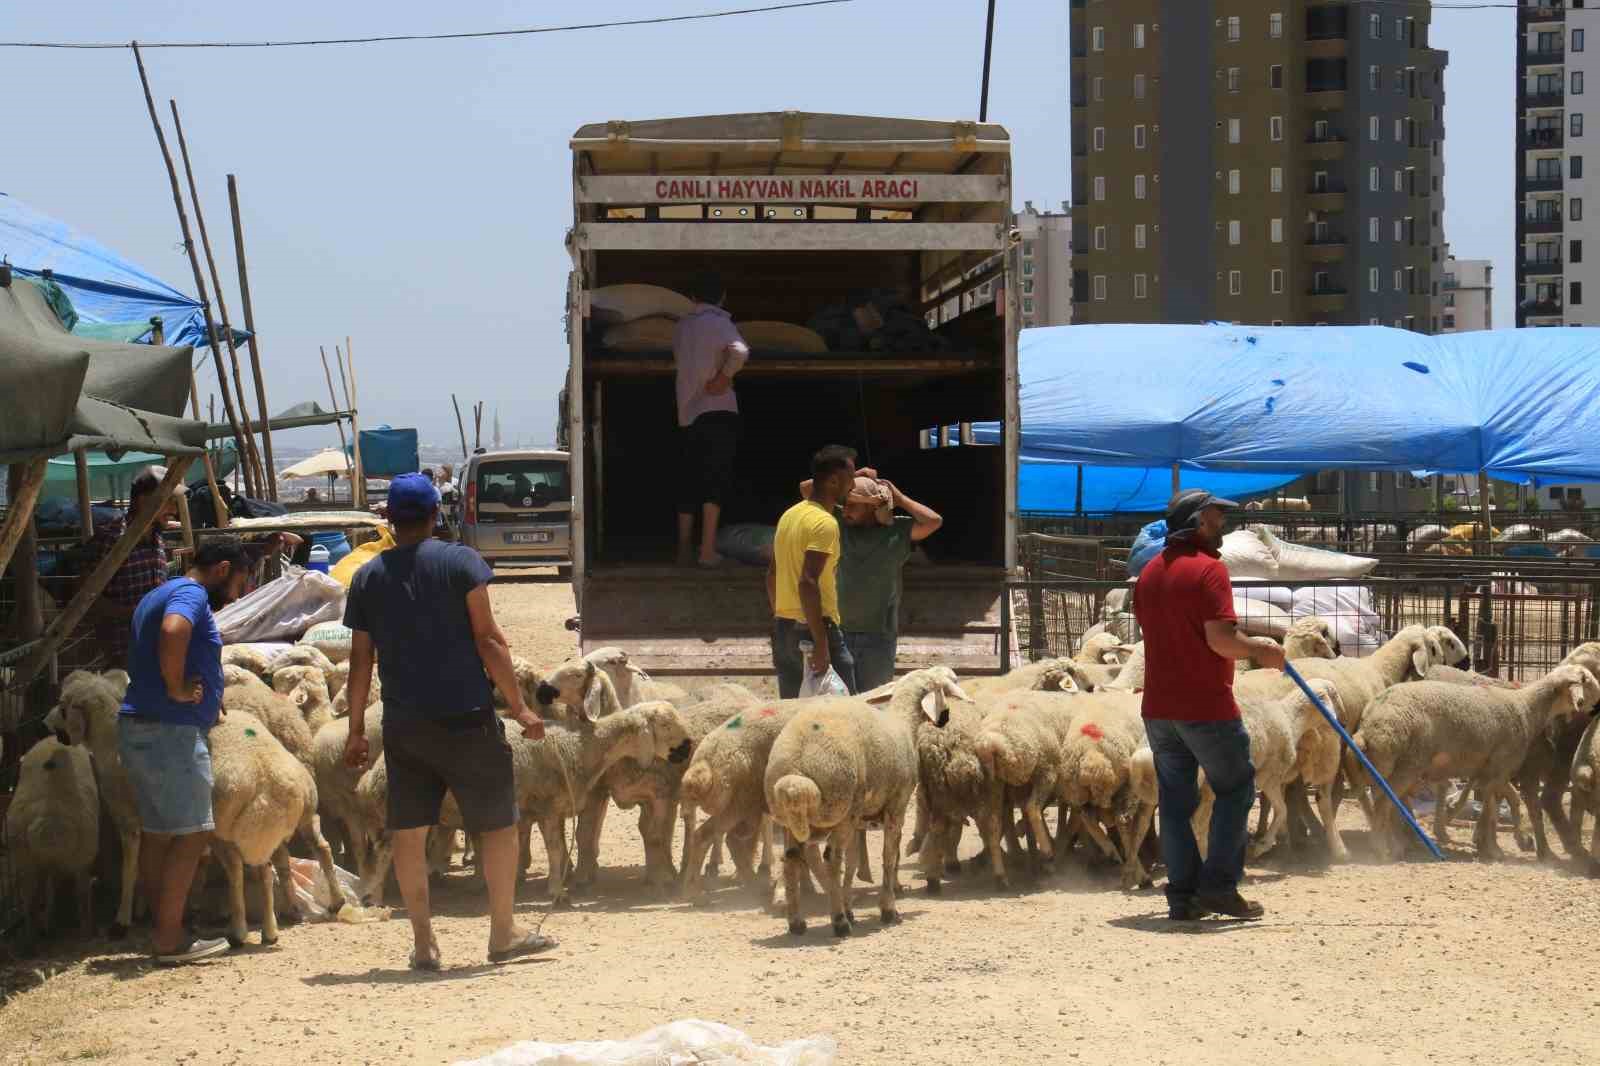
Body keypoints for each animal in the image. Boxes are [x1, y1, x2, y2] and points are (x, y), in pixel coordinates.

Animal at [5, 736, 100, 934]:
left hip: (25, 860)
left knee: (30, 900)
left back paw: (32, 934)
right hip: (81, 855)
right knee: (81, 893)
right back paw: (86, 929)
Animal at [206, 710, 347, 941]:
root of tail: (266, 778)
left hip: (223, 831)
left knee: (237, 870)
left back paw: (240, 931)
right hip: (302, 814)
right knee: (316, 849)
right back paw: (328, 903)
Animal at [764, 669, 966, 934]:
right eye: (946, 686)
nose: (945, 719)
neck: (905, 723)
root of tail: (794, 775)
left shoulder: (859, 821)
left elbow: (853, 862)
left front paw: (851, 908)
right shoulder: (896, 809)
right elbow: (889, 857)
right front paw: (888, 909)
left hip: (794, 820)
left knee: (791, 859)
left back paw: (797, 922)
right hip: (840, 810)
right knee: (831, 859)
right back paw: (838, 922)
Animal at [1350, 665, 1600, 864]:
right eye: (1587, 680)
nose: (1597, 707)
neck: (1525, 709)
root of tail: (1367, 725)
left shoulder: (1491, 772)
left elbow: (1503, 803)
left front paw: (1508, 841)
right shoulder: (1500, 768)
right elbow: (1492, 809)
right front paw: (1494, 849)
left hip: (1386, 766)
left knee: (1387, 801)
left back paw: (1396, 842)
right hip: (1407, 764)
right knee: (1384, 802)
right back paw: (1384, 848)